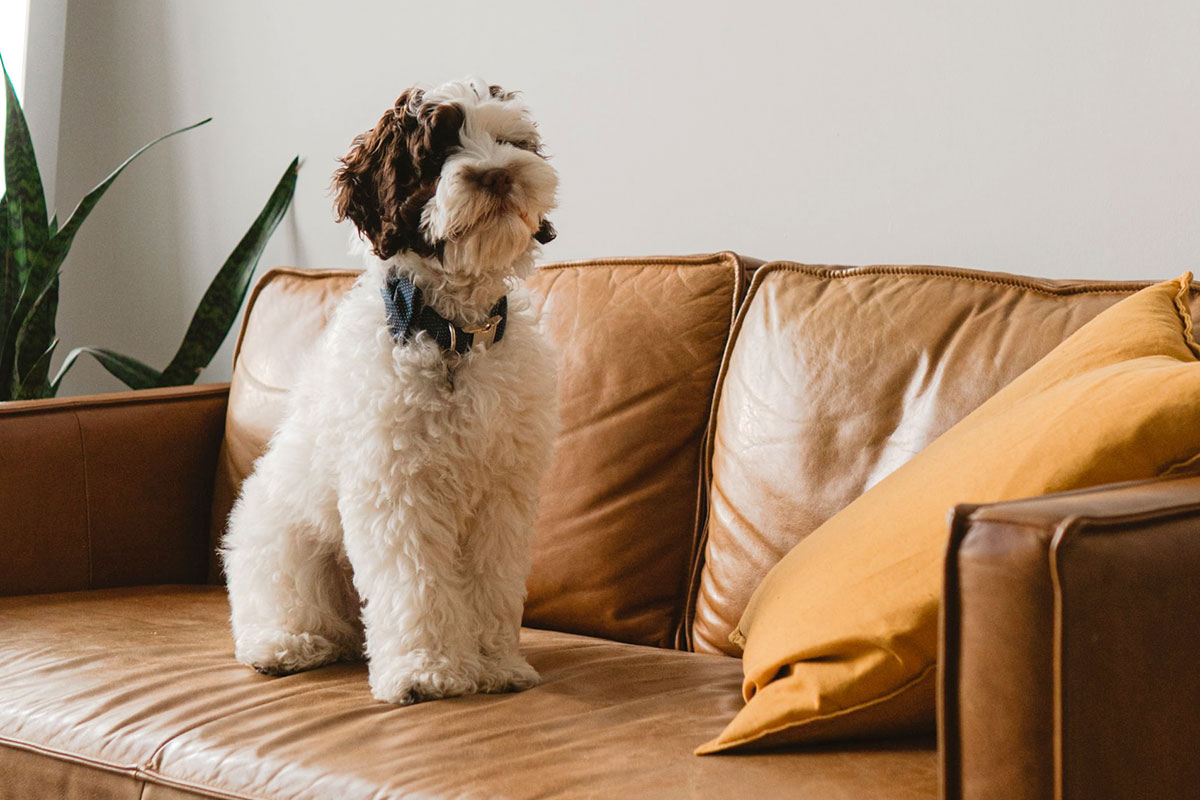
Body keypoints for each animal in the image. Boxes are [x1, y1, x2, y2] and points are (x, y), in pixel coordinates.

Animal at [223, 77, 559, 705]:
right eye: (437, 152)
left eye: (509, 142)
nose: (498, 174)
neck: (451, 335)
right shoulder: (399, 488)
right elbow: (420, 584)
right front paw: (428, 671)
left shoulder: (503, 495)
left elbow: (493, 583)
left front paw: (496, 665)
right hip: (283, 545)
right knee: (281, 609)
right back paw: (283, 646)